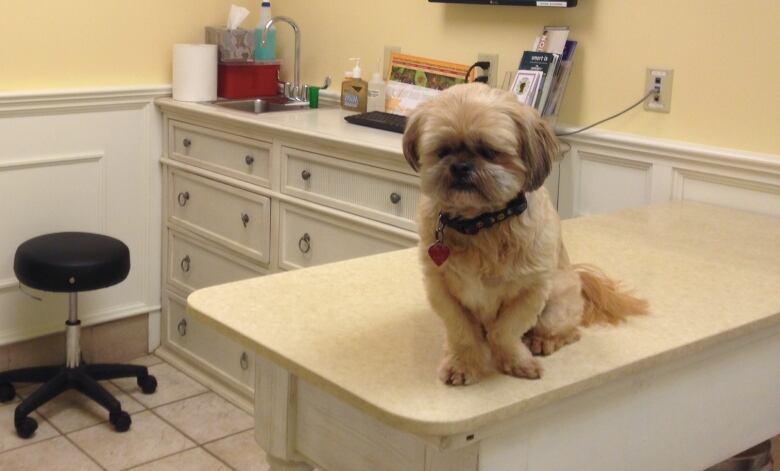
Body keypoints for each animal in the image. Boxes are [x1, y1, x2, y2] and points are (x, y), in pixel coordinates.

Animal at [402, 84, 644, 388]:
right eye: (443, 151)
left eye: (490, 152)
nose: (460, 166)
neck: (481, 224)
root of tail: (578, 275)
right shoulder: (441, 288)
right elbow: (462, 332)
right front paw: (462, 363)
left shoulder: (531, 290)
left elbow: (505, 331)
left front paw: (515, 362)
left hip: (557, 304)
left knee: (570, 331)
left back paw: (542, 341)